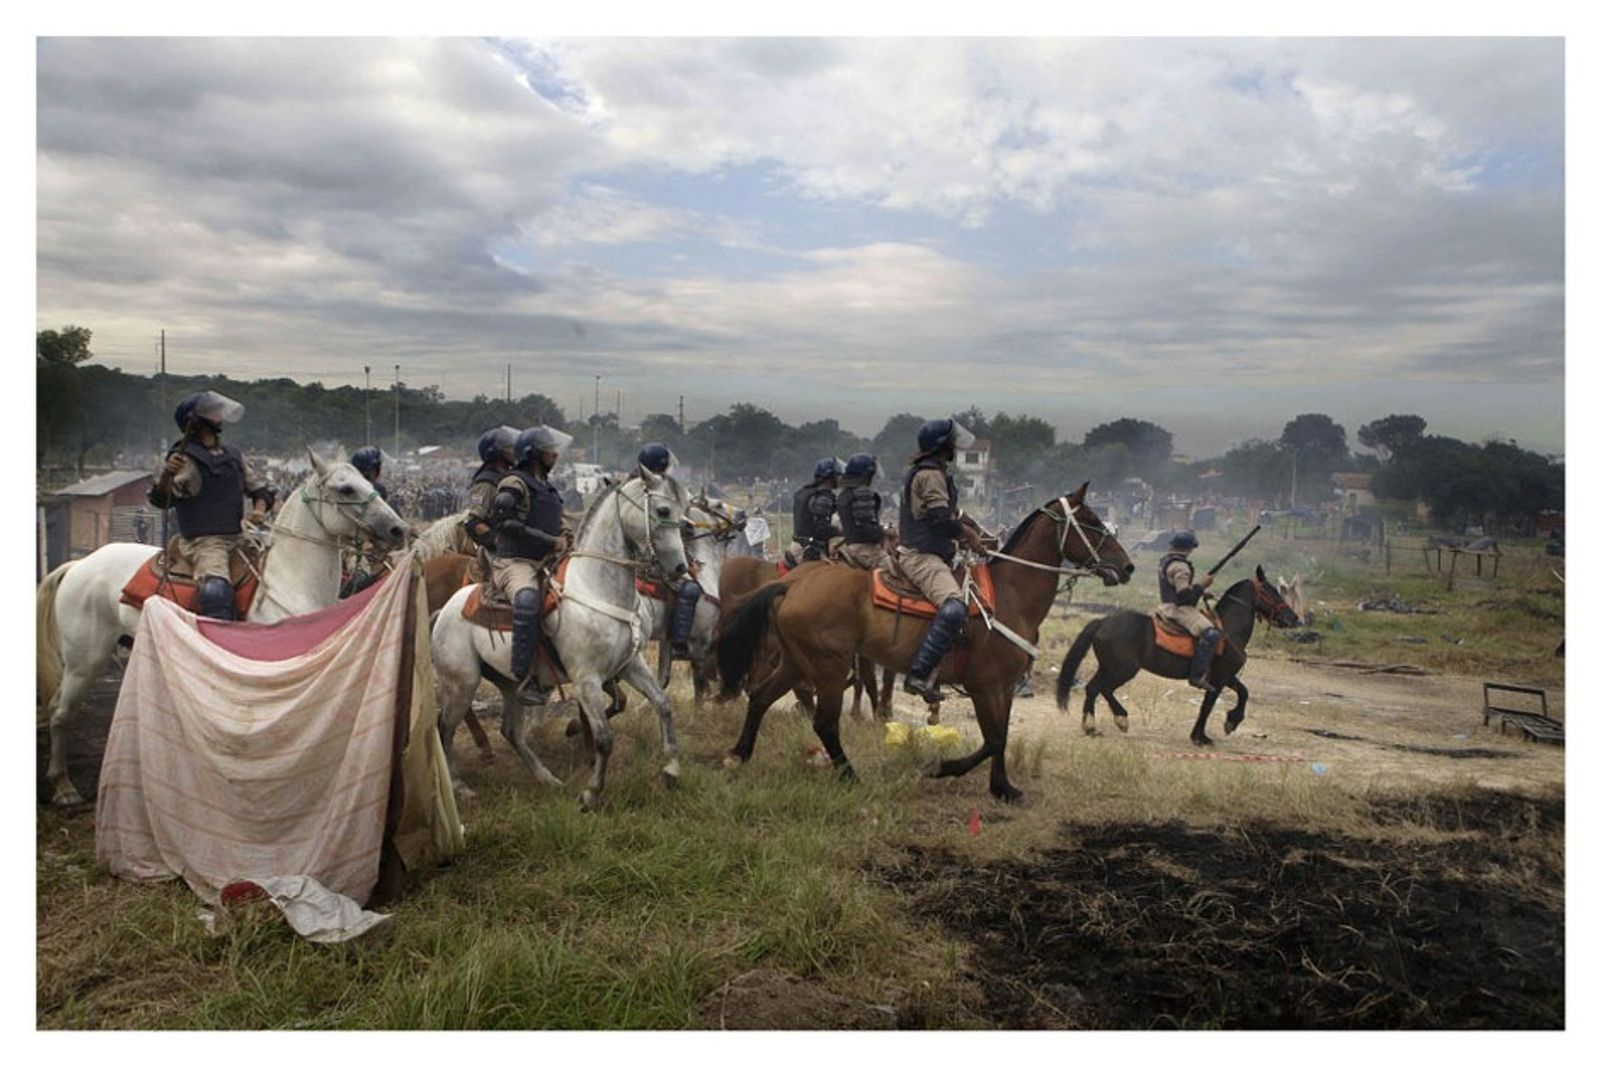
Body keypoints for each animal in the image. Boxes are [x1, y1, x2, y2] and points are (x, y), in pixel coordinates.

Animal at [35, 444, 409, 800]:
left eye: (368, 482)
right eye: (346, 488)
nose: (399, 529)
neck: (288, 581)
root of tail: (79, 565)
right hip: (85, 661)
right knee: (60, 713)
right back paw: (64, 786)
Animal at [432, 470, 694, 809]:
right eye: (663, 511)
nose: (680, 568)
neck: (597, 587)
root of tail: (445, 610)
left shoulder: (630, 665)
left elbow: (663, 704)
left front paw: (671, 769)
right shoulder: (587, 679)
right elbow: (604, 737)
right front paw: (591, 793)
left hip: (509, 684)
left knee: (510, 731)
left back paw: (547, 778)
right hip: (462, 683)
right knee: (445, 727)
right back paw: (458, 786)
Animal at [720, 480, 1132, 797]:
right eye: (1092, 522)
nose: (1127, 567)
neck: (1010, 595)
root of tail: (792, 583)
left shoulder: (1004, 687)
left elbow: (999, 736)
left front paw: (1002, 787)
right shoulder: (984, 686)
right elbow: (993, 739)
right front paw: (941, 769)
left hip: (796, 661)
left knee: (760, 697)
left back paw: (737, 755)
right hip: (828, 669)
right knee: (823, 722)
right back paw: (850, 775)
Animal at [1062, 560, 1299, 742]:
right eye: (1272, 592)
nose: (1294, 618)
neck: (1228, 630)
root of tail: (1103, 622)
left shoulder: (1224, 677)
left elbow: (1243, 692)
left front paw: (1231, 721)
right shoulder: (1220, 678)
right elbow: (1208, 706)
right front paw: (1201, 737)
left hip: (1108, 667)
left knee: (1093, 688)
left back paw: (1091, 726)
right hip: (1123, 670)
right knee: (1102, 688)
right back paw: (1118, 719)